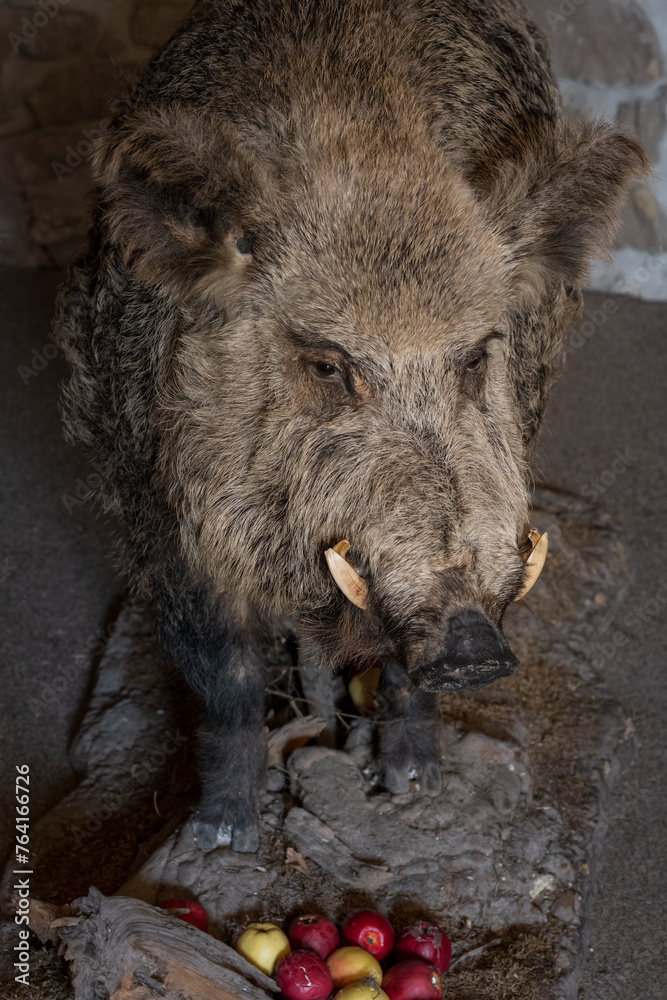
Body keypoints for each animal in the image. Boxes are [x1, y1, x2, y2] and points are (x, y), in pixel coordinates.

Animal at [55, 0, 648, 852]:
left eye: (475, 357)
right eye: (327, 365)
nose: (473, 646)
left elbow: (399, 669)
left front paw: (413, 788)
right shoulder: (161, 507)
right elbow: (226, 674)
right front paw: (222, 837)